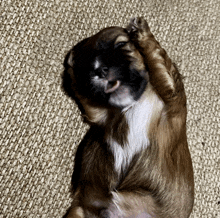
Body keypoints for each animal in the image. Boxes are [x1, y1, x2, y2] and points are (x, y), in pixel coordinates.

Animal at [63, 17, 194, 218]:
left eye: (121, 44)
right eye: (87, 64)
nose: (99, 70)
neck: (132, 104)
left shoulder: (172, 96)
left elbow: (157, 61)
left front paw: (142, 32)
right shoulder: (99, 113)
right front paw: (72, 63)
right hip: (77, 211)